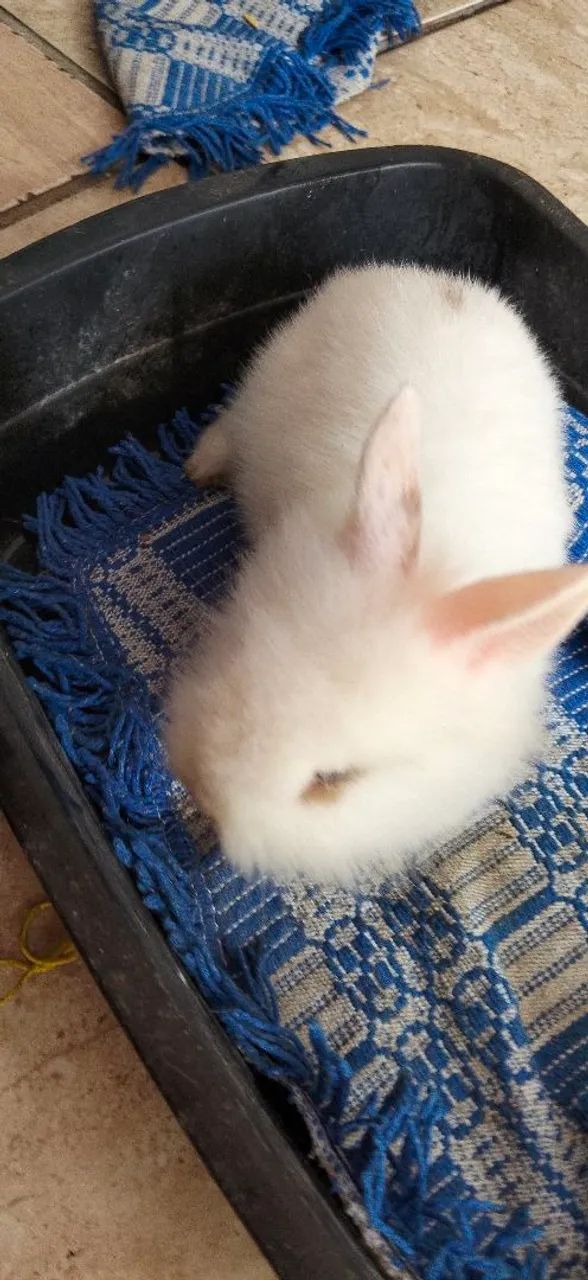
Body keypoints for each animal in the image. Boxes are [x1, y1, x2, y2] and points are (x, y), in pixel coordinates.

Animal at [166, 264, 588, 884]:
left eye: (333, 781)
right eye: (245, 645)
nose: (204, 793)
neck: (444, 569)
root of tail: (432, 277)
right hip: (266, 381)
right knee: (233, 424)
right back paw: (202, 465)